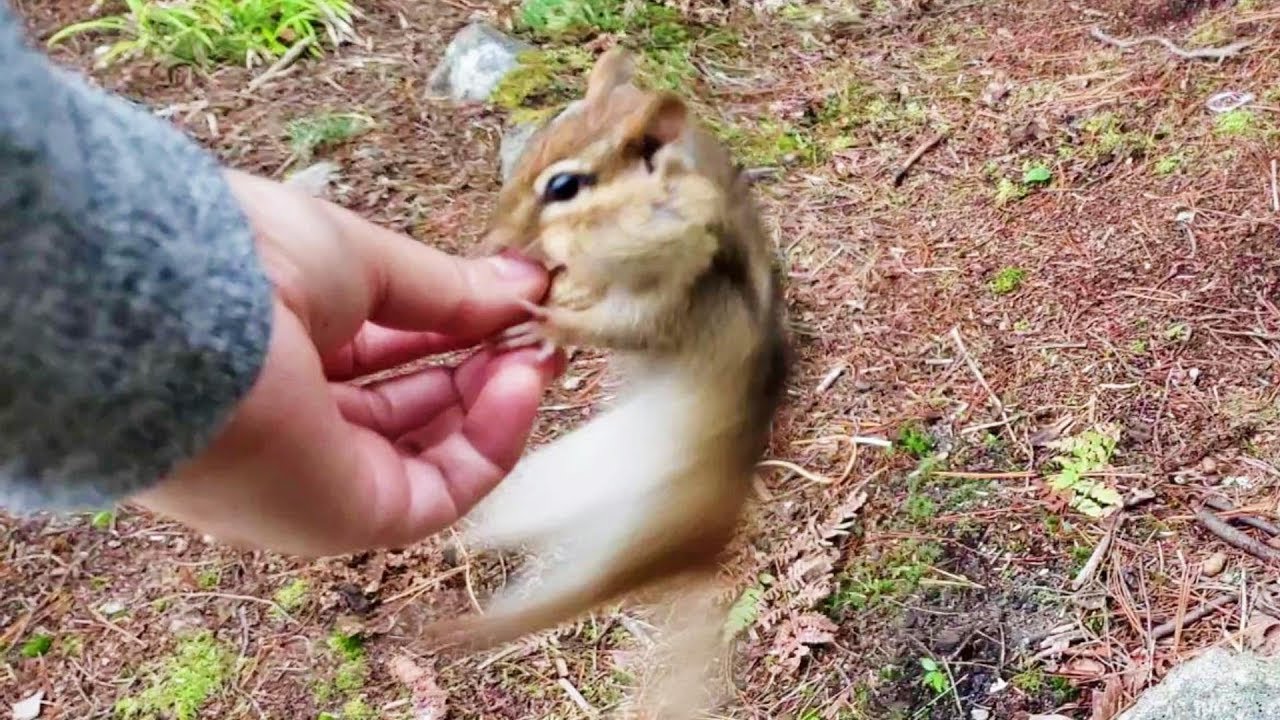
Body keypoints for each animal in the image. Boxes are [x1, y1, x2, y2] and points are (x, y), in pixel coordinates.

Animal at [423, 47, 792, 657]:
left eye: (564, 187)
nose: (490, 245)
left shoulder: (673, 281)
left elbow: (623, 324)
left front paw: (548, 322)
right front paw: (554, 291)